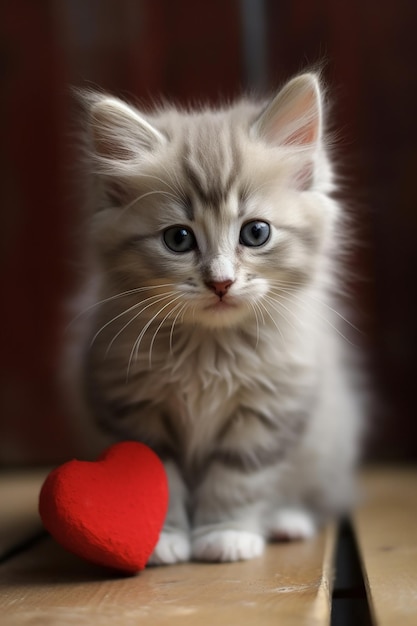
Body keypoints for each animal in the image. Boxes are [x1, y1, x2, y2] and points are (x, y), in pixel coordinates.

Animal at [71, 73, 360, 560]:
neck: (209, 348)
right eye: (179, 239)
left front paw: (225, 533)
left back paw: (285, 521)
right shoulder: (130, 405)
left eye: (256, 233)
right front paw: (162, 538)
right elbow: (155, 478)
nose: (220, 282)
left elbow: (237, 479)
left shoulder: (271, 408)